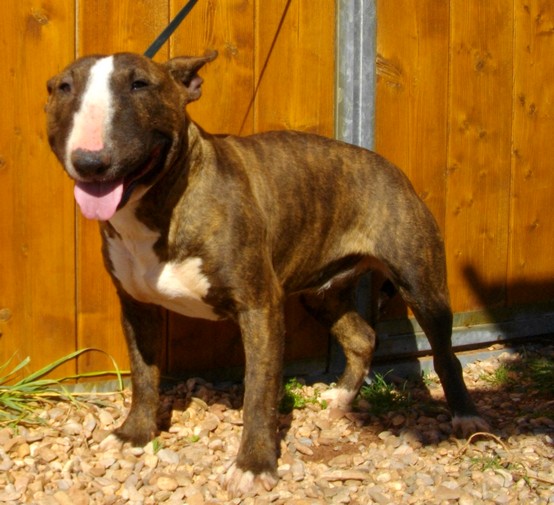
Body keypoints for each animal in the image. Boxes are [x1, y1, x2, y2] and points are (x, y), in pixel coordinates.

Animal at [45, 51, 488, 496]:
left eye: (140, 84)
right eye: (63, 87)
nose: (90, 160)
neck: (159, 206)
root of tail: (389, 165)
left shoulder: (259, 307)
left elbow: (259, 391)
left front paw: (254, 465)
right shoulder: (137, 308)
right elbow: (143, 375)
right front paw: (134, 435)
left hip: (422, 282)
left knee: (445, 354)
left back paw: (466, 417)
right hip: (321, 294)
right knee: (362, 337)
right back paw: (341, 400)